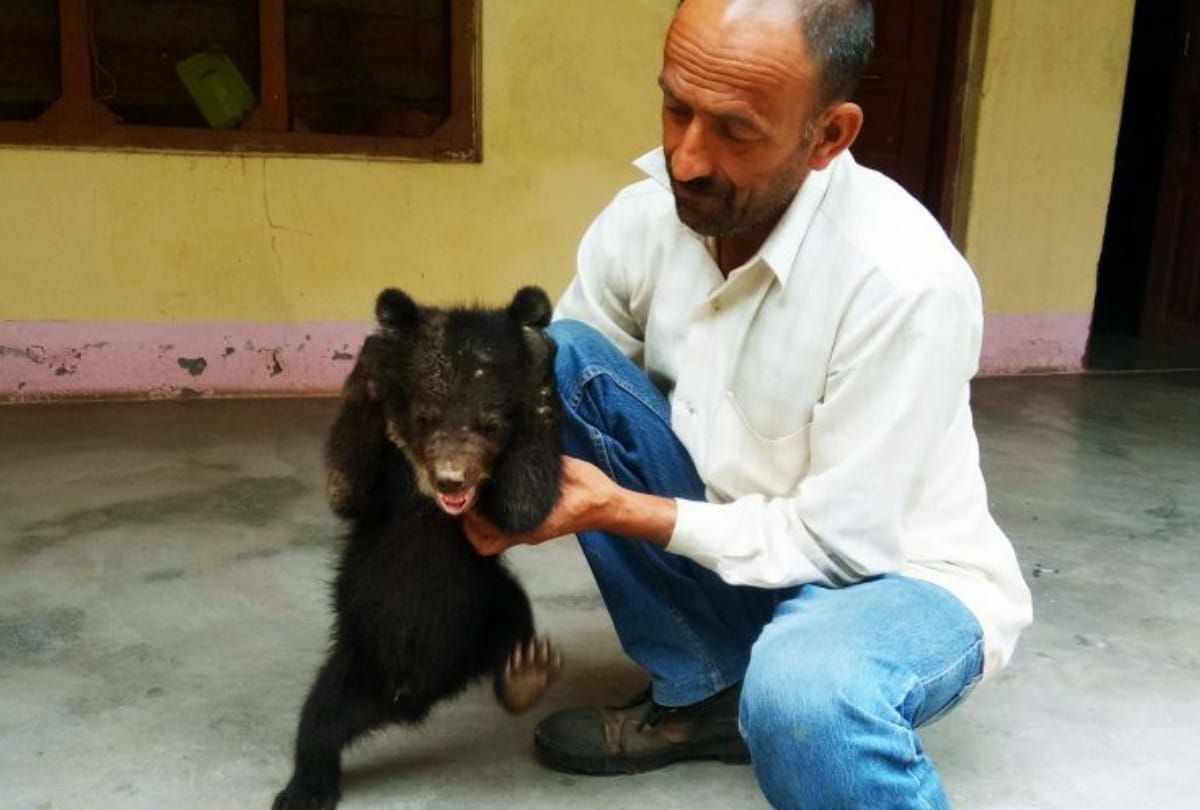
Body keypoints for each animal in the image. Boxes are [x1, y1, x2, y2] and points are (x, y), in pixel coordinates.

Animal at [273, 286, 564, 810]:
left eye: (489, 424)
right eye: (425, 418)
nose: (453, 479)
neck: (431, 500)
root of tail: (412, 697)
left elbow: (525, 503)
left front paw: (535, 350)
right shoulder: (385, 483)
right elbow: (346, 485)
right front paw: (373, 358)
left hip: (486, 608)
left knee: (513, 621)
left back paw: (525, 674)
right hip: (357, 661)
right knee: (318, 722)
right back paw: (304, 789)